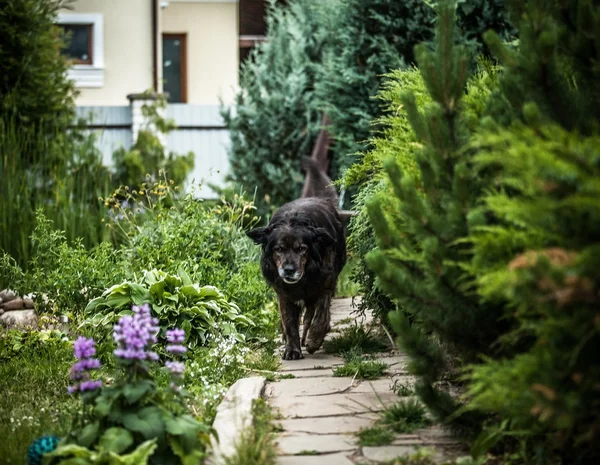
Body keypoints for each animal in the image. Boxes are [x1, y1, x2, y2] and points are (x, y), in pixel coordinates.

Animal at [247, 159, 346, 358]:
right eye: (278, 249)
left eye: (302, 249)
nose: (289, 270)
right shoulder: (283, 292)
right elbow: (289, 322)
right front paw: (292, 349)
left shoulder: (324, 285)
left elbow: (321, 315)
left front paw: (315, 339)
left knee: (310, 315)